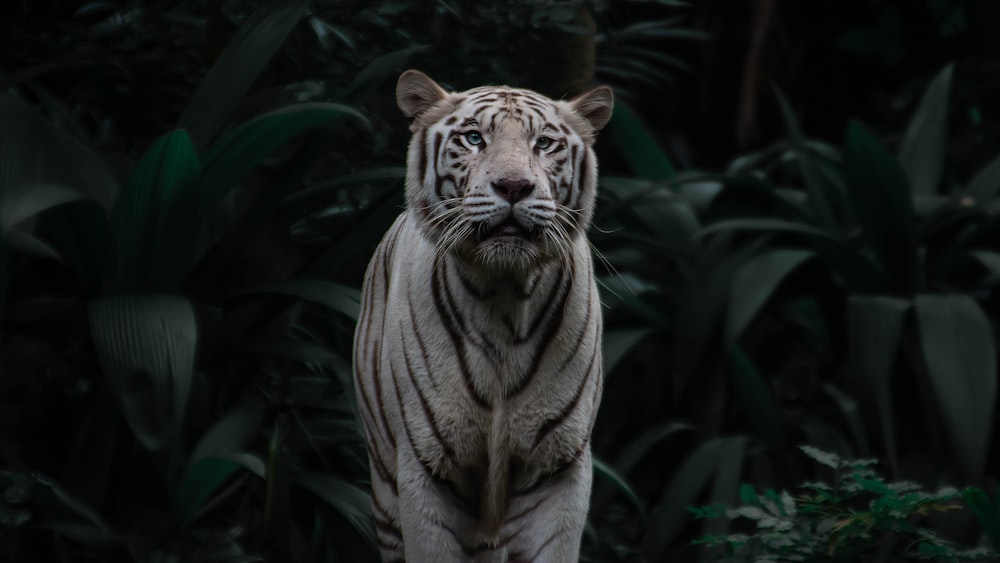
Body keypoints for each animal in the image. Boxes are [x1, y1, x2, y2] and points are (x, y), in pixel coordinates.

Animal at [352, 70, 612, 563]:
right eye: (474, 138)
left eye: (543, 143)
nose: (513, 186)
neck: (504, 299)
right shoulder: (426, 468)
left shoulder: (557, 467)